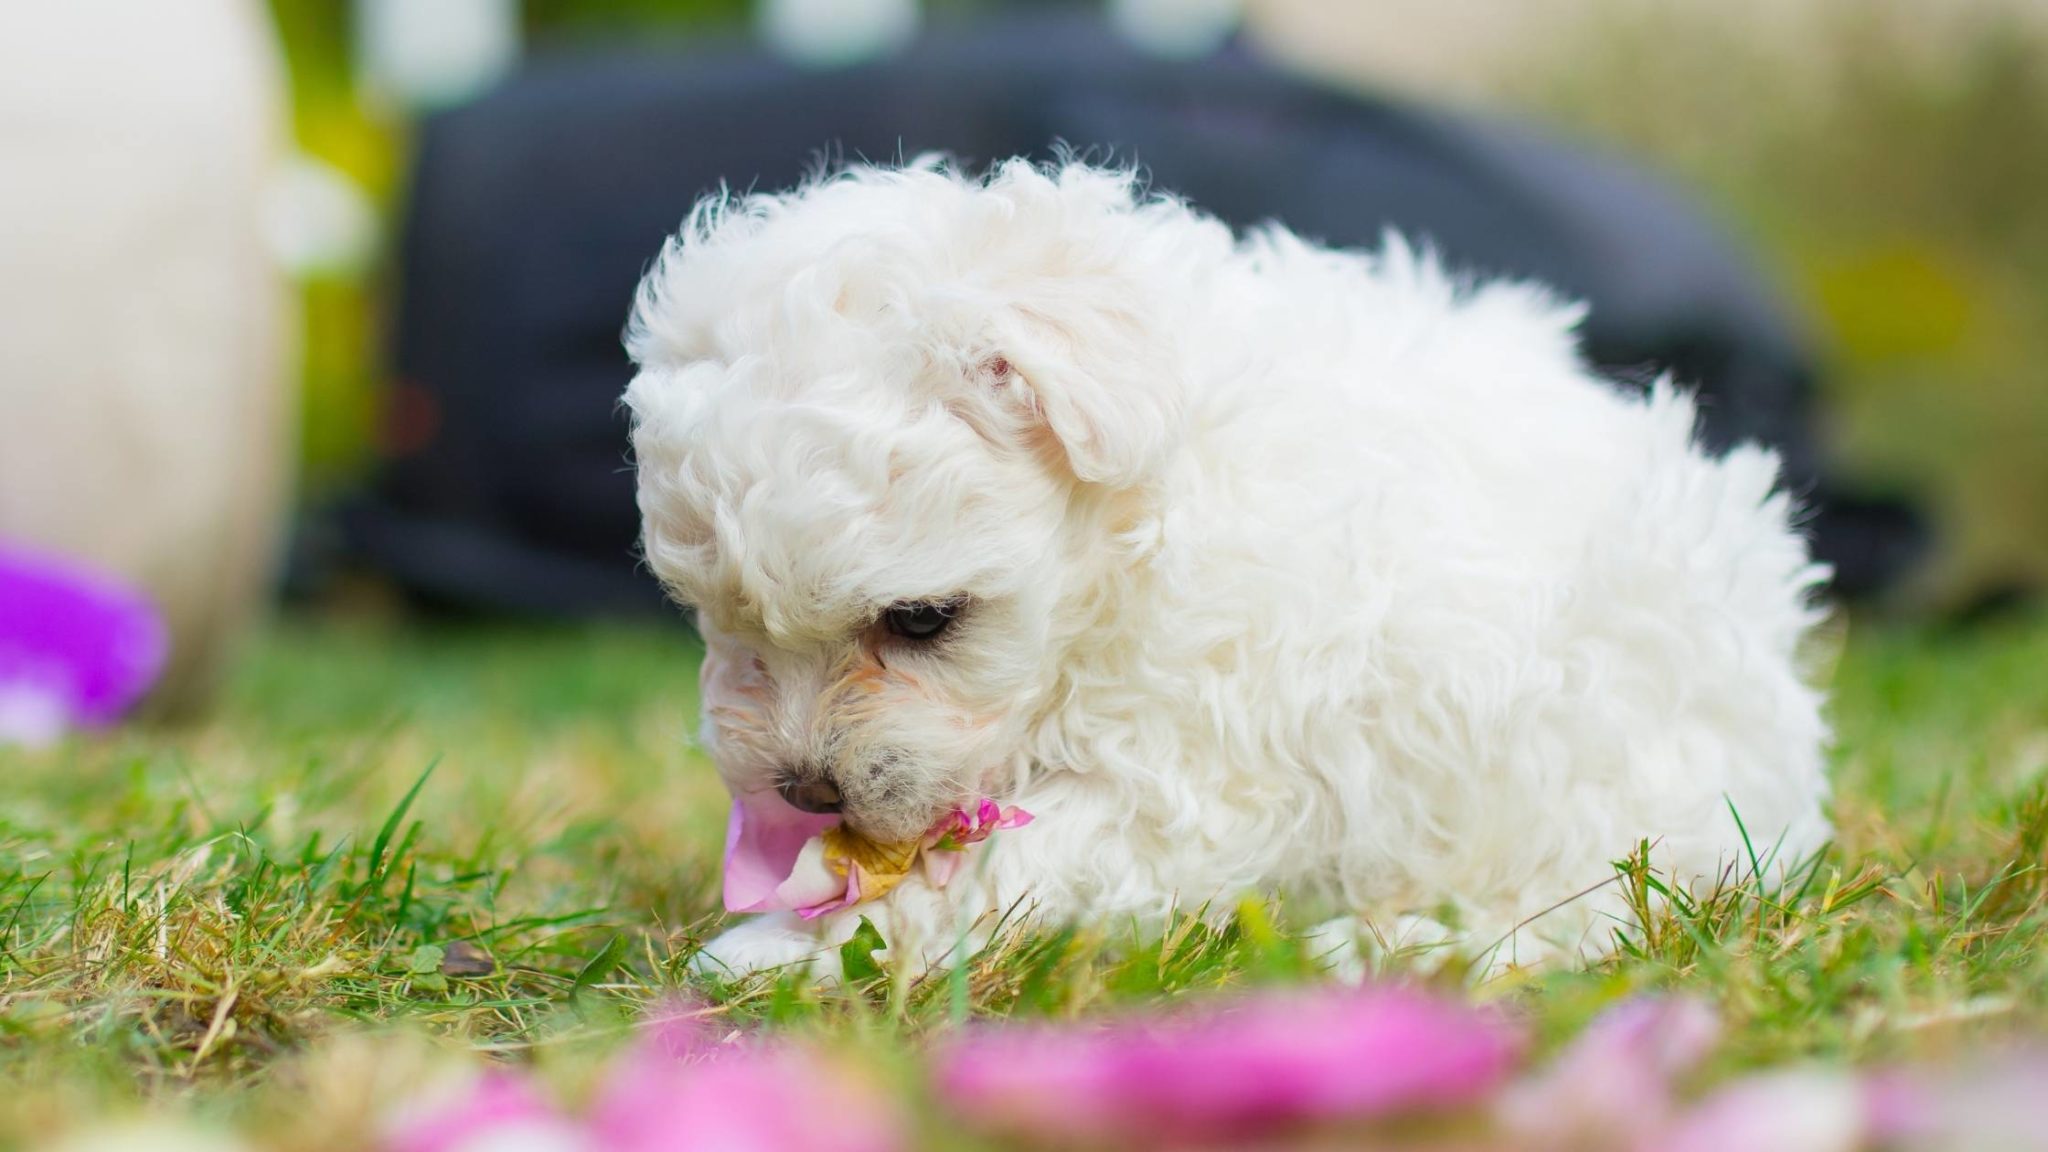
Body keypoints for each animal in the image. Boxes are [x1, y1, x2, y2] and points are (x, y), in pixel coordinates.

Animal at [618, 156, 1826, 971]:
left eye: (921, 621)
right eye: (722, 619)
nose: (804, 791)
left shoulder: (1198, 762)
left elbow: (1015, 864)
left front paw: (777, 950)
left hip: (1600, 777)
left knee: (1583, 905)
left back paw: (1391, 945)